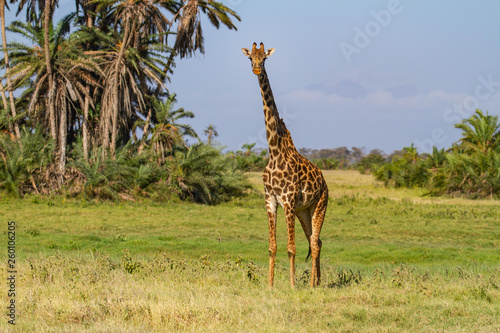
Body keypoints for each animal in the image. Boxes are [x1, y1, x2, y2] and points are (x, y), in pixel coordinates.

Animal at [241, 42, 328, 288]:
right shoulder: (270, 200)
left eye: (264, 58)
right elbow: (273, 247)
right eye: (250, 58)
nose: (257, 69)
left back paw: (311, 286)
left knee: (315, 243)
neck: (274, 151)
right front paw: (270, 285)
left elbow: (291, 248)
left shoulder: (288, 201)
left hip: (320, 205)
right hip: (303, 210)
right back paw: (316, 282)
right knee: (315, 241)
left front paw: (291, 285)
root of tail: (325, 182)